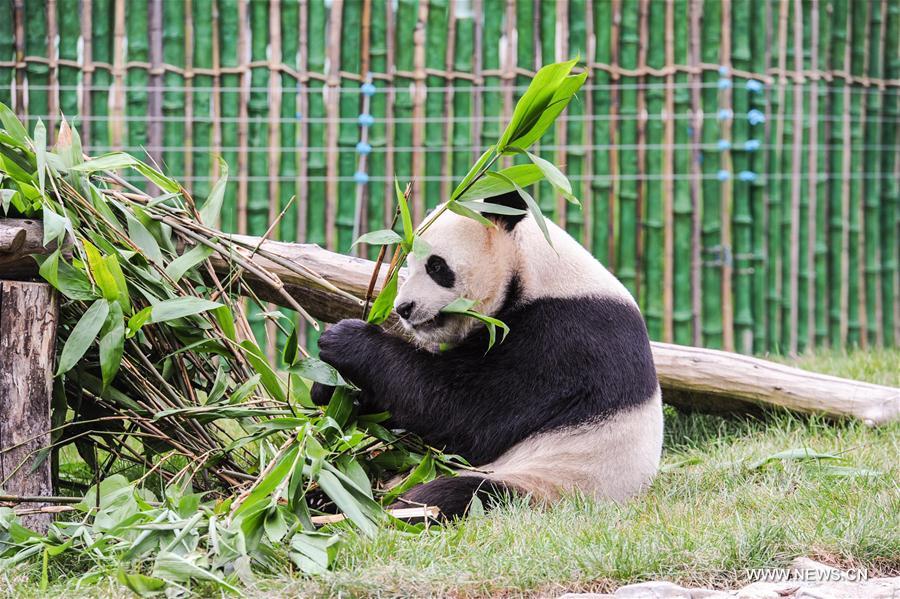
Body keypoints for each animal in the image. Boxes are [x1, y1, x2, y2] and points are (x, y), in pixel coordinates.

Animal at [313, 190, 663, 519]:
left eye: (436, 266)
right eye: (409, 265)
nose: (403, 308)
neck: (537, 272)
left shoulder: (565, 341)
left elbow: (461, 411)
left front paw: (346, 340)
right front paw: (329, 388)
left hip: (543, 484)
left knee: (453, 495)